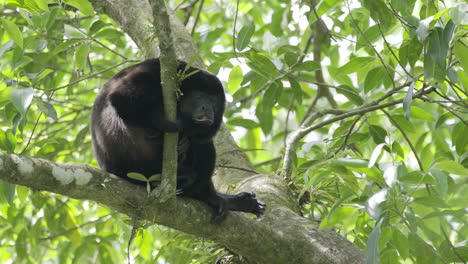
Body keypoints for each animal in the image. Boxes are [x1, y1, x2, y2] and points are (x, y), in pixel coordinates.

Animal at [91, 58, 266, 223]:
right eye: (199, 97)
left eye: (213, 101)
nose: (207, 108)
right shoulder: (151, 74)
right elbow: (121, 98)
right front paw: (178, 125)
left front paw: (186, 139)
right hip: (138, 169)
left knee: (202, 146)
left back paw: (217, 198)